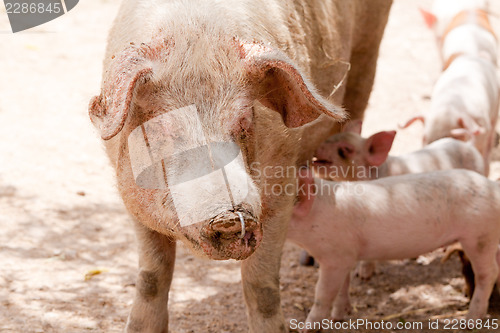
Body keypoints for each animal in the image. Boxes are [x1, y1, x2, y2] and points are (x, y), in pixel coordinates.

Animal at [91, 1, 394, 330]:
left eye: (245, 121)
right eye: (161, 127)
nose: (228, 216)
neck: (194, 32)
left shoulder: (280, 187)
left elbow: (260, 286)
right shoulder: (132, 200)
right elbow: (152, 277)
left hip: (367, 53)